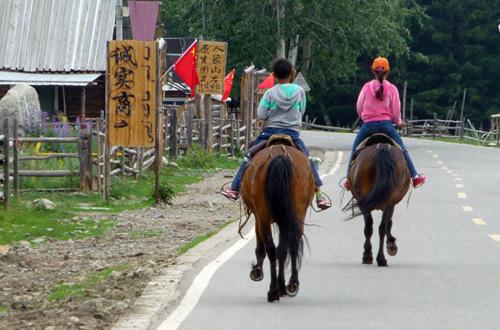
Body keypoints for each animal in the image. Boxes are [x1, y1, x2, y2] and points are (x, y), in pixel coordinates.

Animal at [240, 141, 314, 302]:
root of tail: (280, 156)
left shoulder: (258, 217)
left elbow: (261, 247)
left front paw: (257, 271)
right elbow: (283, 249)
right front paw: (282, 286)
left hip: (264, 216)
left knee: (272, 249)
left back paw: (273, 291)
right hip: (297, 213)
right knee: (290, 246)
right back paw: (291, 284)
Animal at [348, 135, 410, 266]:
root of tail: (382, 148)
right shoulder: (391, 204)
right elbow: (388, 223)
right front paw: (391, 244)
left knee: (371, 227)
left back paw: (370, 255)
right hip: (387, 202)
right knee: (380, 227)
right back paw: (380, 257)